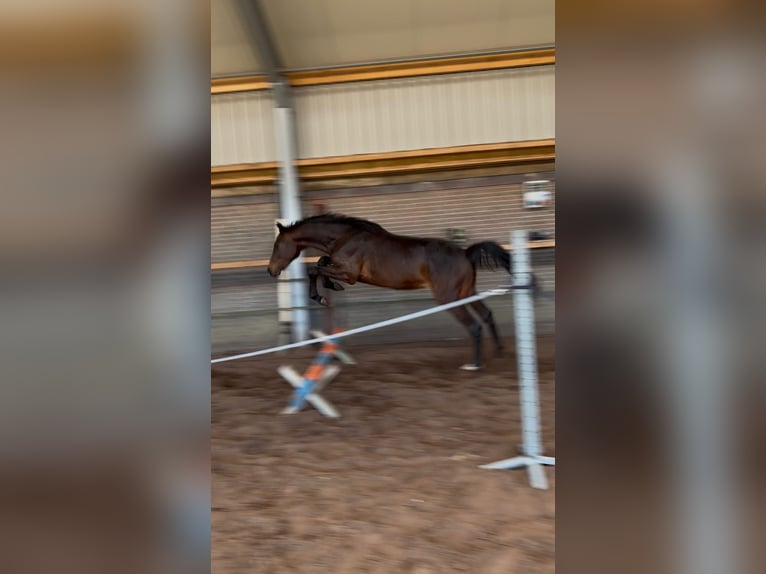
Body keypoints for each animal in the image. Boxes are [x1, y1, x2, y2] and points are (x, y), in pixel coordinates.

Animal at [267, 213, 530, 369]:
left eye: (278, 245)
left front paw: (321, 294)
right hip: (466, 293)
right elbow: (321, 263)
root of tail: (465, 254)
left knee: (474, 325)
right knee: (486, 315)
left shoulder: (350, 275)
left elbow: (315, 269)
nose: (271, 270)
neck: (344, 237)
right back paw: (498, 354)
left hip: (449, 298)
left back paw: (474, 364)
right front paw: (329, 288)